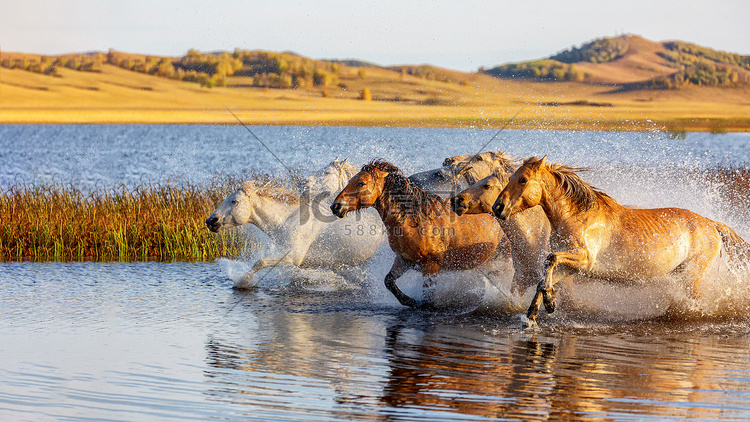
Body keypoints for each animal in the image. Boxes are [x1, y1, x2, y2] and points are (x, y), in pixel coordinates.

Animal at [207, 159, 388, 290]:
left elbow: (260, 262)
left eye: (234, 201)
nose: (210, 221)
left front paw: (243, 281)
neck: (288, 220)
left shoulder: (293, 256)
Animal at [332, 160, 508, 308]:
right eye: (349, 181)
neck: (414, 221)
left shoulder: (432, 264)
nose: (335, 206)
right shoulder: (404, 260)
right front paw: (409, 301)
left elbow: (428, 299)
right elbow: (388, 281)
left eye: (361, 183)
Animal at [494, 157, 750, 328]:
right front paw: (534, 314)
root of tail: (712, 223)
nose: (498, 207)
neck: (578, 215)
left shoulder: (584, 259)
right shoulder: (573, 266)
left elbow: (550, 259)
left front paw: (548, 303)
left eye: (523, 179)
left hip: (694, 276)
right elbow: (544, 277)